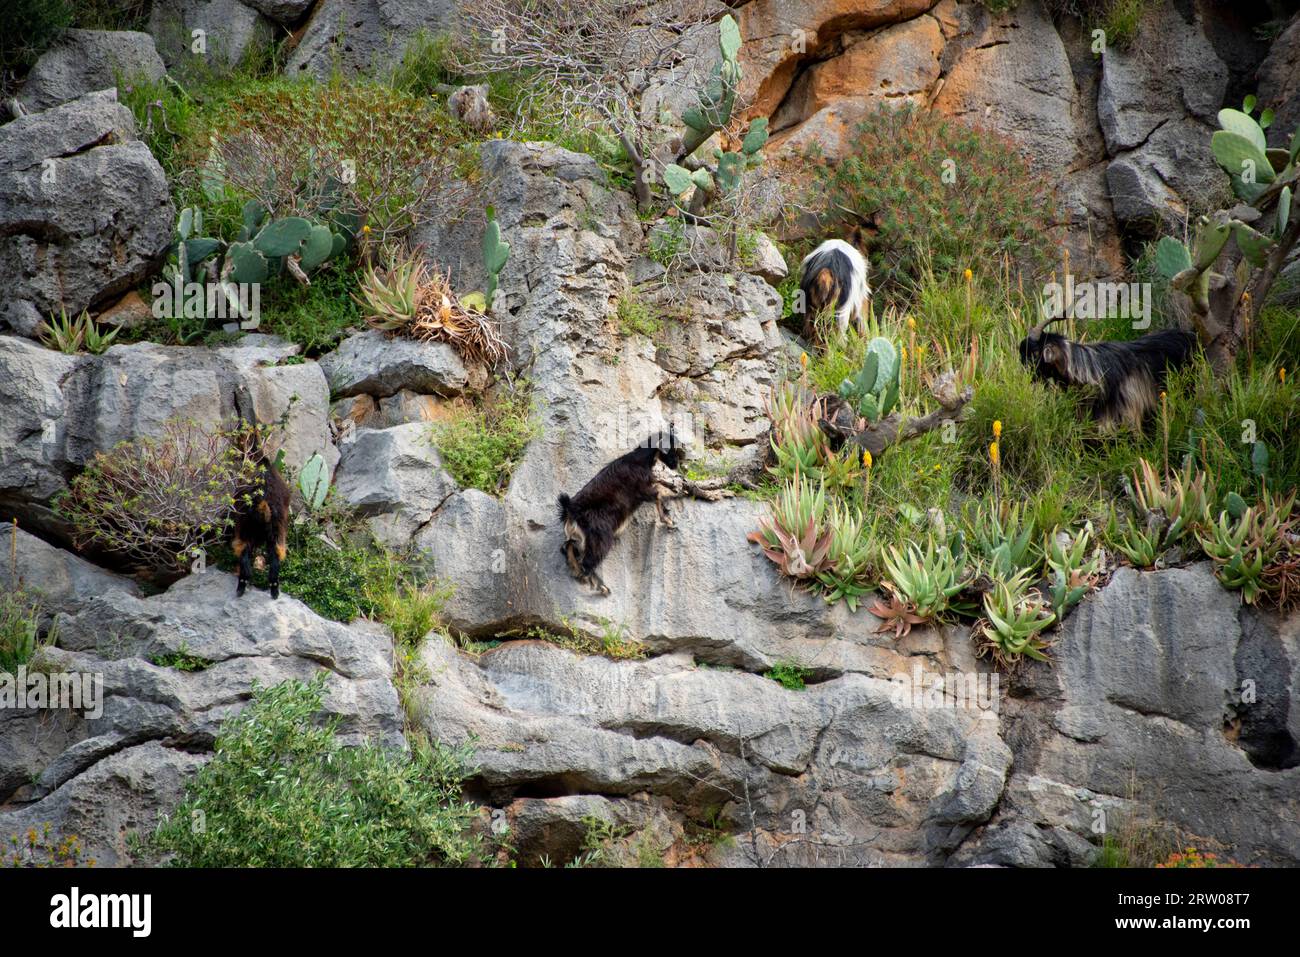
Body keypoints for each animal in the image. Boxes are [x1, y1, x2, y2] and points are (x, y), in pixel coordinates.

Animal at [557, 430, 685, 596]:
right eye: (671, 448)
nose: (676, 464)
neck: (640, 461)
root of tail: (569, 510)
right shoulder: (642, 490)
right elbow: (658, 493)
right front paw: (669, 520)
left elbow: (660, 485)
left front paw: (677, 490)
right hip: (600, 536)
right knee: (587, 562)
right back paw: (602, 588)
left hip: (578, 537)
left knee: (569, 548)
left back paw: (580, 575)